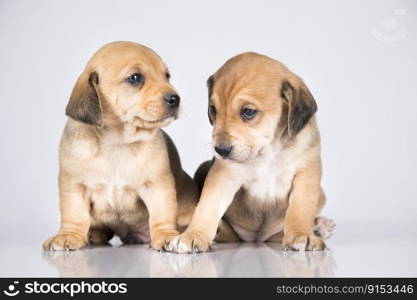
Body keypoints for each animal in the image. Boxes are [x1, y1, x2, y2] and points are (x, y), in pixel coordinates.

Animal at [41, 40, 197, 251]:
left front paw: (166, 235)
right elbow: (73, 214)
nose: (175, 99)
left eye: (167, 76)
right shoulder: (74, 186)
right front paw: (68, 235)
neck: (117, 142)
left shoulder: (157, 185)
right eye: (135, 78)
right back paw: (93, 233)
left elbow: (162, 214)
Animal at [169, 52, 334, 253]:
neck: (268, 151)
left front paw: (302, 235)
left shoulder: (307, 173)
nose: (221, 150)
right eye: (213, 110)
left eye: (248, 111)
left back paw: (320, 226)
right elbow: (208, 206)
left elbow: (301, 208)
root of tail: (255, 239)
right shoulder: (224, 175)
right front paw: (193, 235)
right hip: (204, 168)